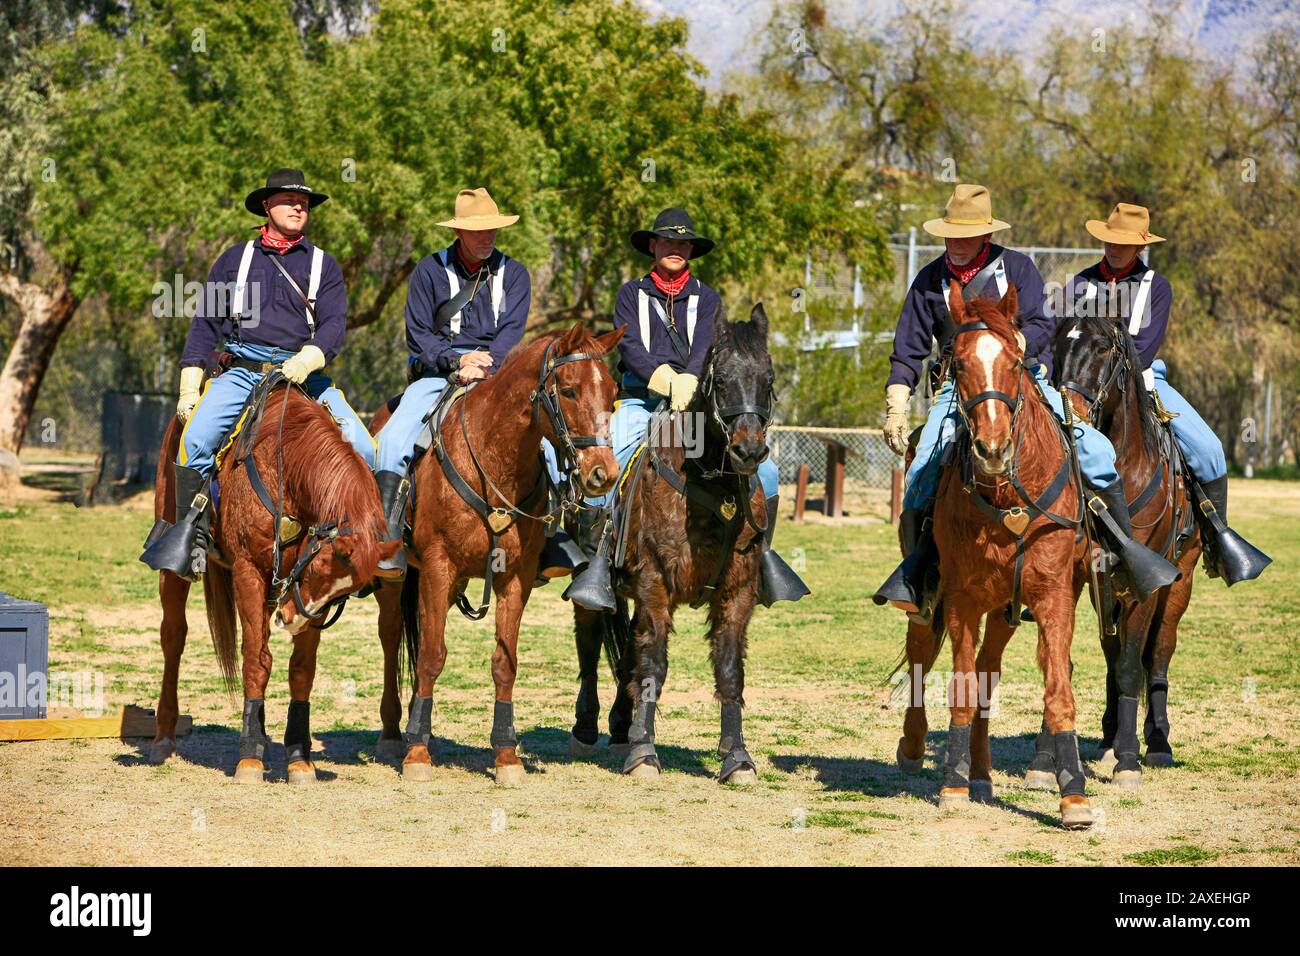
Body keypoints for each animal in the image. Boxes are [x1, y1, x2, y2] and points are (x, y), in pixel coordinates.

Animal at [148, 382, 395, 785]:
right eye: (320, 566)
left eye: (344, 592)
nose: (291, 619)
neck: (285, 467)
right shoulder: (249, 572)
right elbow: (256, 659)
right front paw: (250, 755)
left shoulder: (296, 593)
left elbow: (302, 669)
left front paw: (299, 757)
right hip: (174, 569)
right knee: (173, 637)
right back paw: (163, 737)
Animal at [371, 321, 624, 785]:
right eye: (569, 390)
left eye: (612, 391)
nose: (603, 474)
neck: (494, 461)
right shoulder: (437, 567)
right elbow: (431, 657)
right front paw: (417, 755)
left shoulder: (514, 578)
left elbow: (504, 662)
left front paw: (506, 756)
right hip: (397, 581)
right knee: (392, 636)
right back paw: (395, 733)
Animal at [566, 304, 769, 785]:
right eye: (722, 378)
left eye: (768, 378)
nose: (749, 451)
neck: (710, 489)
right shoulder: (655, 583)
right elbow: (653, 665)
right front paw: (644, 753)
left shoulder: (737, 590)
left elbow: (729, 669)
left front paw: (737, 756)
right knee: (590, 643)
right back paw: (587, 725)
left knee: (627, 654)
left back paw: (622, 723)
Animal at [894, 283, 1097, 832]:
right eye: (959, 363)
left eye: (1014, 360)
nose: (991, 448)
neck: (1008, 499)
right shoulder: (961, 600)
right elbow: (961, 691)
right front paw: (952, 784)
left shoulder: (1052, 597)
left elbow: (1057, 692)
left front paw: (1074, 797)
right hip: (933, 599)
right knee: (922, 653)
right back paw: (916, 748)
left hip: (1006, 610)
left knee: (990, 670)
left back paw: (982, 774)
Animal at [1050, 314, 1201, 785]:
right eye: (1057, 346)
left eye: (1103, 348)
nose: (1072, 415)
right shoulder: (1095, 579)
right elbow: (1109, 661)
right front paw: (1111, 745)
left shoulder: (1147, 586)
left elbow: (1135, 665)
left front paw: (1131, 758)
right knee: (1114, 655)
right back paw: (1109, 738)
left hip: (1179, 583)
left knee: (1159, 652)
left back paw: (1158, 742)